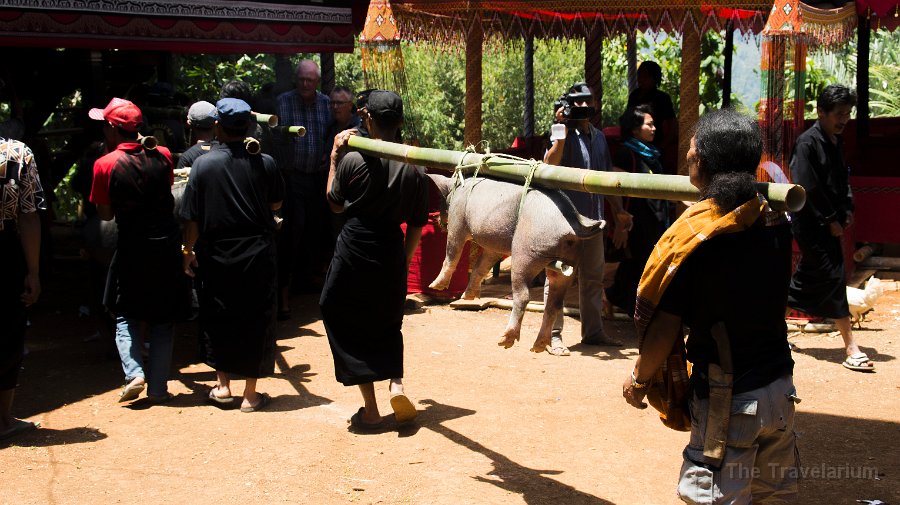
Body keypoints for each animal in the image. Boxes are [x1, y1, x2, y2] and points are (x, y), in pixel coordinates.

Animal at [428, 175, 604, 352]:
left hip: (525, 252)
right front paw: (468, 297)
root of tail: (575, 226)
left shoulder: (457, 219)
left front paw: (434, 286)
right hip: (571, 258)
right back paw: (538, 346)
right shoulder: (495, 246)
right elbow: (482, 266)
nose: (437, 219)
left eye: (442, 201)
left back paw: (504, 341)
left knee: (524, 295)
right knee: (555, 301)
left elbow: (452, 252)